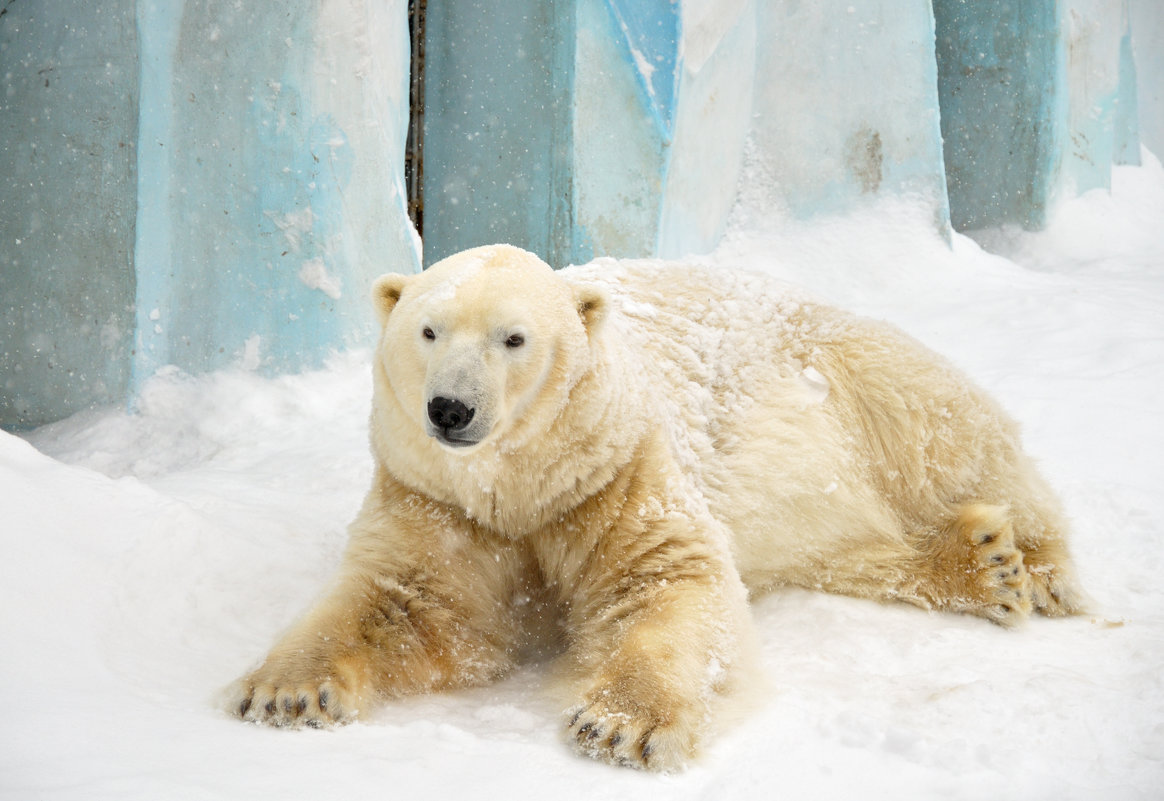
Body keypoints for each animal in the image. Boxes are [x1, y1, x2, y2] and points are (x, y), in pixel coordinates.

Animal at [231, 242, 1084, 768]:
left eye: (514, 338)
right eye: (428, 329)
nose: (450, 409)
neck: (522, 483)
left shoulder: (615, 470)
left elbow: (670, 580)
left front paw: (620, 725)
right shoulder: (435, 499)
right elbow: (407, 602)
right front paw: (285, 691)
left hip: (848, 370)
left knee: (949, 433)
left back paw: (1033, 568)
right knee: (843, 546)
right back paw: (977, 564)